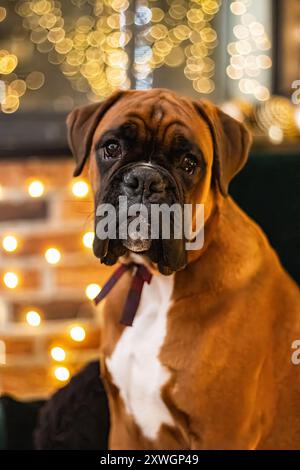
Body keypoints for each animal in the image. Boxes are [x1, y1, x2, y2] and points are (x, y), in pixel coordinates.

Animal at [67, 89, 300, 452]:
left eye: (189, 163)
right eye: (112, 147)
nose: (145, 180)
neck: (154, 282)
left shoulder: (223, 434)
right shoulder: (124, 426)